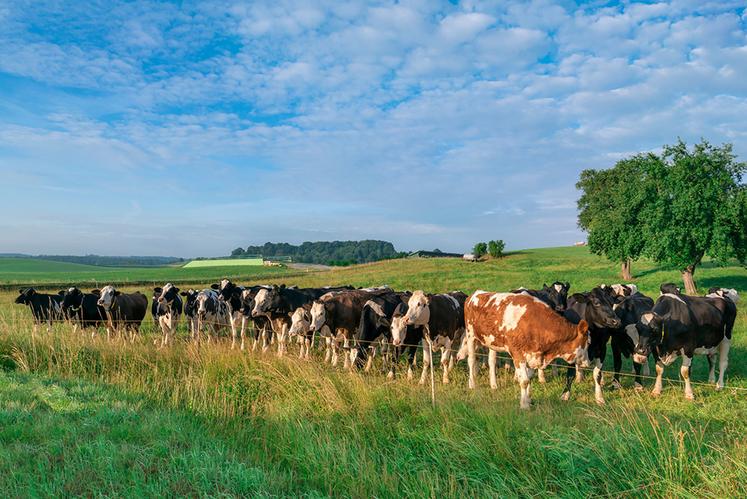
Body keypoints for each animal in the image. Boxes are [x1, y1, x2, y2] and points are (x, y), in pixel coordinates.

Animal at [462, 290, 592, 410]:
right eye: (588, 342)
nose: (588, 363)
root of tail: (474, 294)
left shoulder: (533, 355)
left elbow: (529, 378)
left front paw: (528, 400)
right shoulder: (518, 354)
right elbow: (524, 381)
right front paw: (524, 405)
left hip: (492, 342)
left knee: (492, 362)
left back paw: (494, 385)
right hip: (470, 335)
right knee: (471, 360)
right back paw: (472, 384)